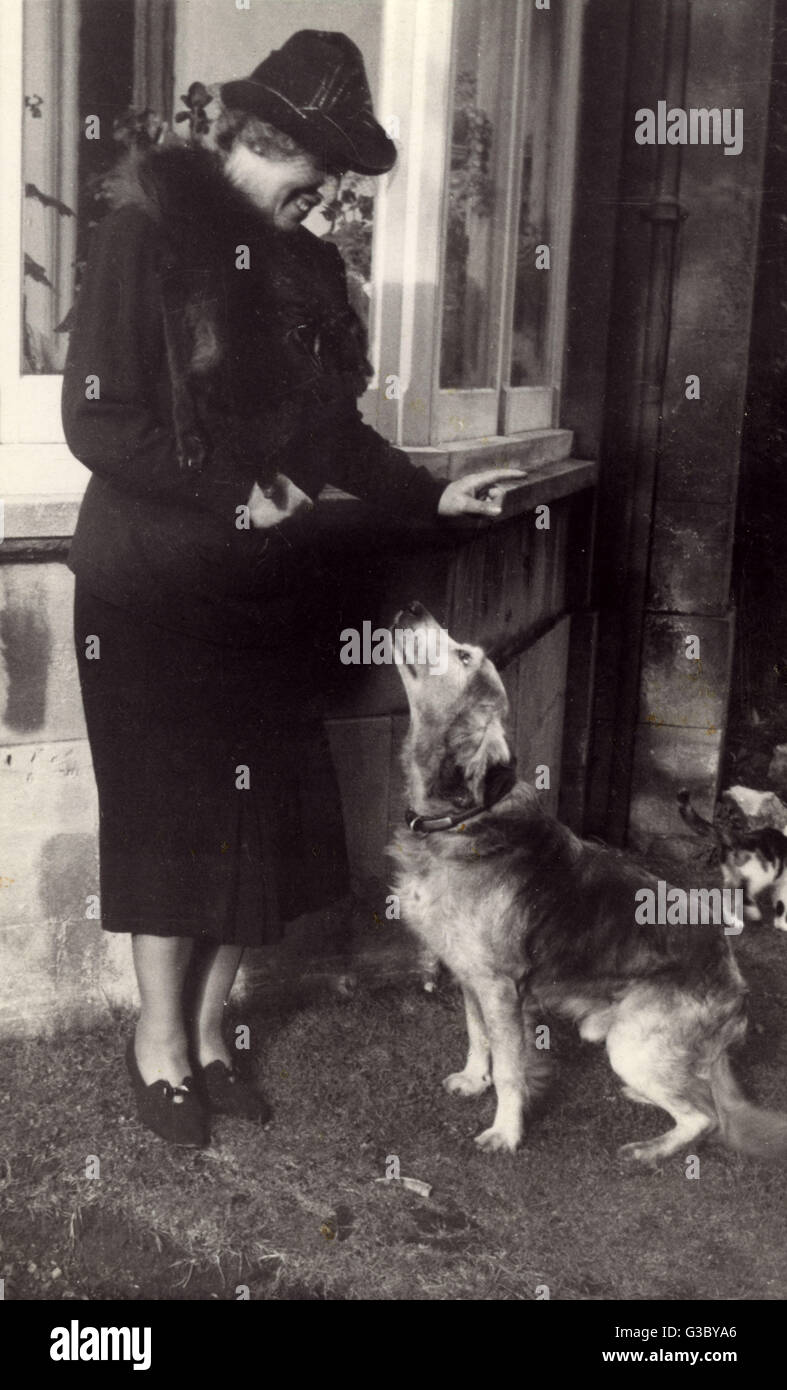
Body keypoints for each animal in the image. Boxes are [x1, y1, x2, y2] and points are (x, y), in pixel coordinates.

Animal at [389, 603, 787, 1156]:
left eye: (463, 656)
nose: (414, 608)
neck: (463, 821)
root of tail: (736, 988)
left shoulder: (500, 988)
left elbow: (510, 1069)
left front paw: (506, 1131)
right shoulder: (470, 978)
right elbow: (476, 1036)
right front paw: (473, 1079)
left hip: (629, 1043)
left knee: (706, 1118)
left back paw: (650, 1150)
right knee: (699, 1094)